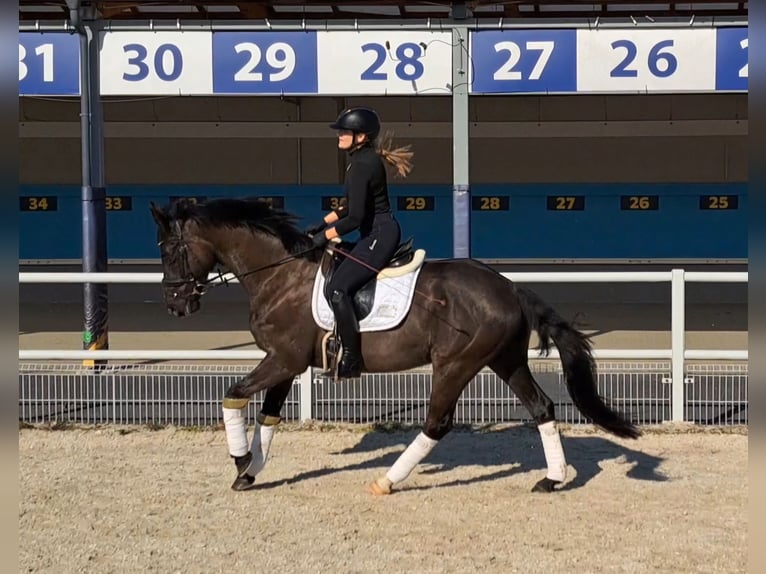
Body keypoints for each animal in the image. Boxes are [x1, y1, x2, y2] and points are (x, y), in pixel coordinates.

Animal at [149, 196, 640, 495]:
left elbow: (232, 396)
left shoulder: (282, 359)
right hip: (504, 360)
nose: (174, 304)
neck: (280, 274)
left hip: (455, 365)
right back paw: (552, 480)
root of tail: (510, 288)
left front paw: (239, 462)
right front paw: (250, 472)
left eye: (169, 250)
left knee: (437, 423)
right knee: (542, 408)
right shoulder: (287, 363)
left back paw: (387, 481)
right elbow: (267, 417)